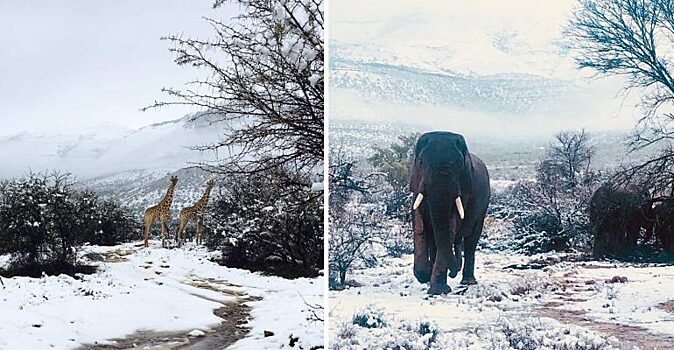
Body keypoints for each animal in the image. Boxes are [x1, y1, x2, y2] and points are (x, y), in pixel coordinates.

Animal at [406, 131, 490, 296]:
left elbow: (451, 226)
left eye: (459, 165)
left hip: (484, 204)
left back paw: (467, 281)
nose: (453, 272)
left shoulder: (464, 189)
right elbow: (419, 224)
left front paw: (438, 290)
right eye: (421, 162)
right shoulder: (417, 186)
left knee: (471, 240)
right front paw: (425, 276)